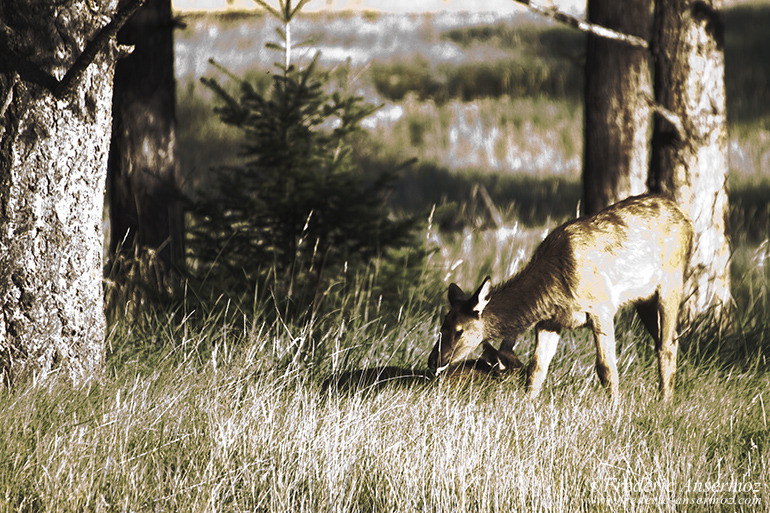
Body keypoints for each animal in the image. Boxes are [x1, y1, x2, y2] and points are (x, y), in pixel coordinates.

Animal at [426, 193, 688, 400]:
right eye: (442, 325)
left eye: (459, 330)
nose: (433, 361)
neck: (554, 287)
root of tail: (687, 218)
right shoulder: (549, 321)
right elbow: (537, 368)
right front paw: (527, 405)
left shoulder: (602, 305)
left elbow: (606, 367)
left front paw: (615, 409)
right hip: (644, 298)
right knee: (667, 340)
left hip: (672, 278)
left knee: (667, 344)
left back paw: (664, 404)